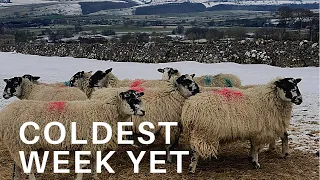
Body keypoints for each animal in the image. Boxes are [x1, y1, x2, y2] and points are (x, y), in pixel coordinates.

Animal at [0, 89, 145, 179]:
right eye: (130, 98)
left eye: (138, 97)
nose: (143, 111)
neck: (105, 110)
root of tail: (6, 111)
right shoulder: (88, 144)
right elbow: (82, 166)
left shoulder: (94, 145)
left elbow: (94, 163)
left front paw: (95, 176)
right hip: (20, 144)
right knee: (25, 167)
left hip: (22, 146)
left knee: (18, 167)